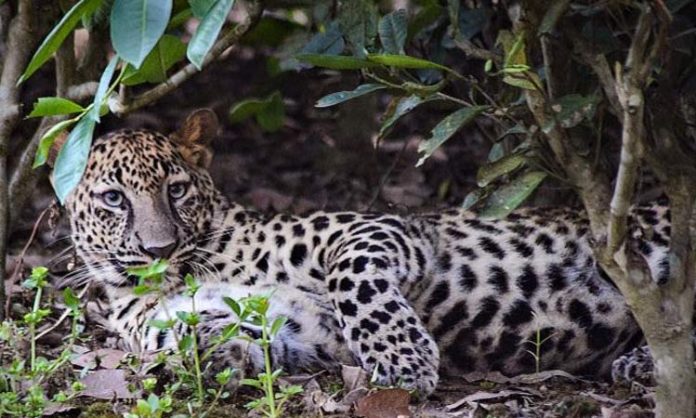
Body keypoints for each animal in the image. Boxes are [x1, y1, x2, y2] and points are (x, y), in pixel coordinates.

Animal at [61, 108, 676, 396]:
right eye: (114, 198)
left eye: (176, 190)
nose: (159, 249)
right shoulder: (296, 329)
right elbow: (194, 336)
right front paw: (217, 354)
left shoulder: (380, 227)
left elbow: (353, 279)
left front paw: (406, 361)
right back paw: (637, 362)